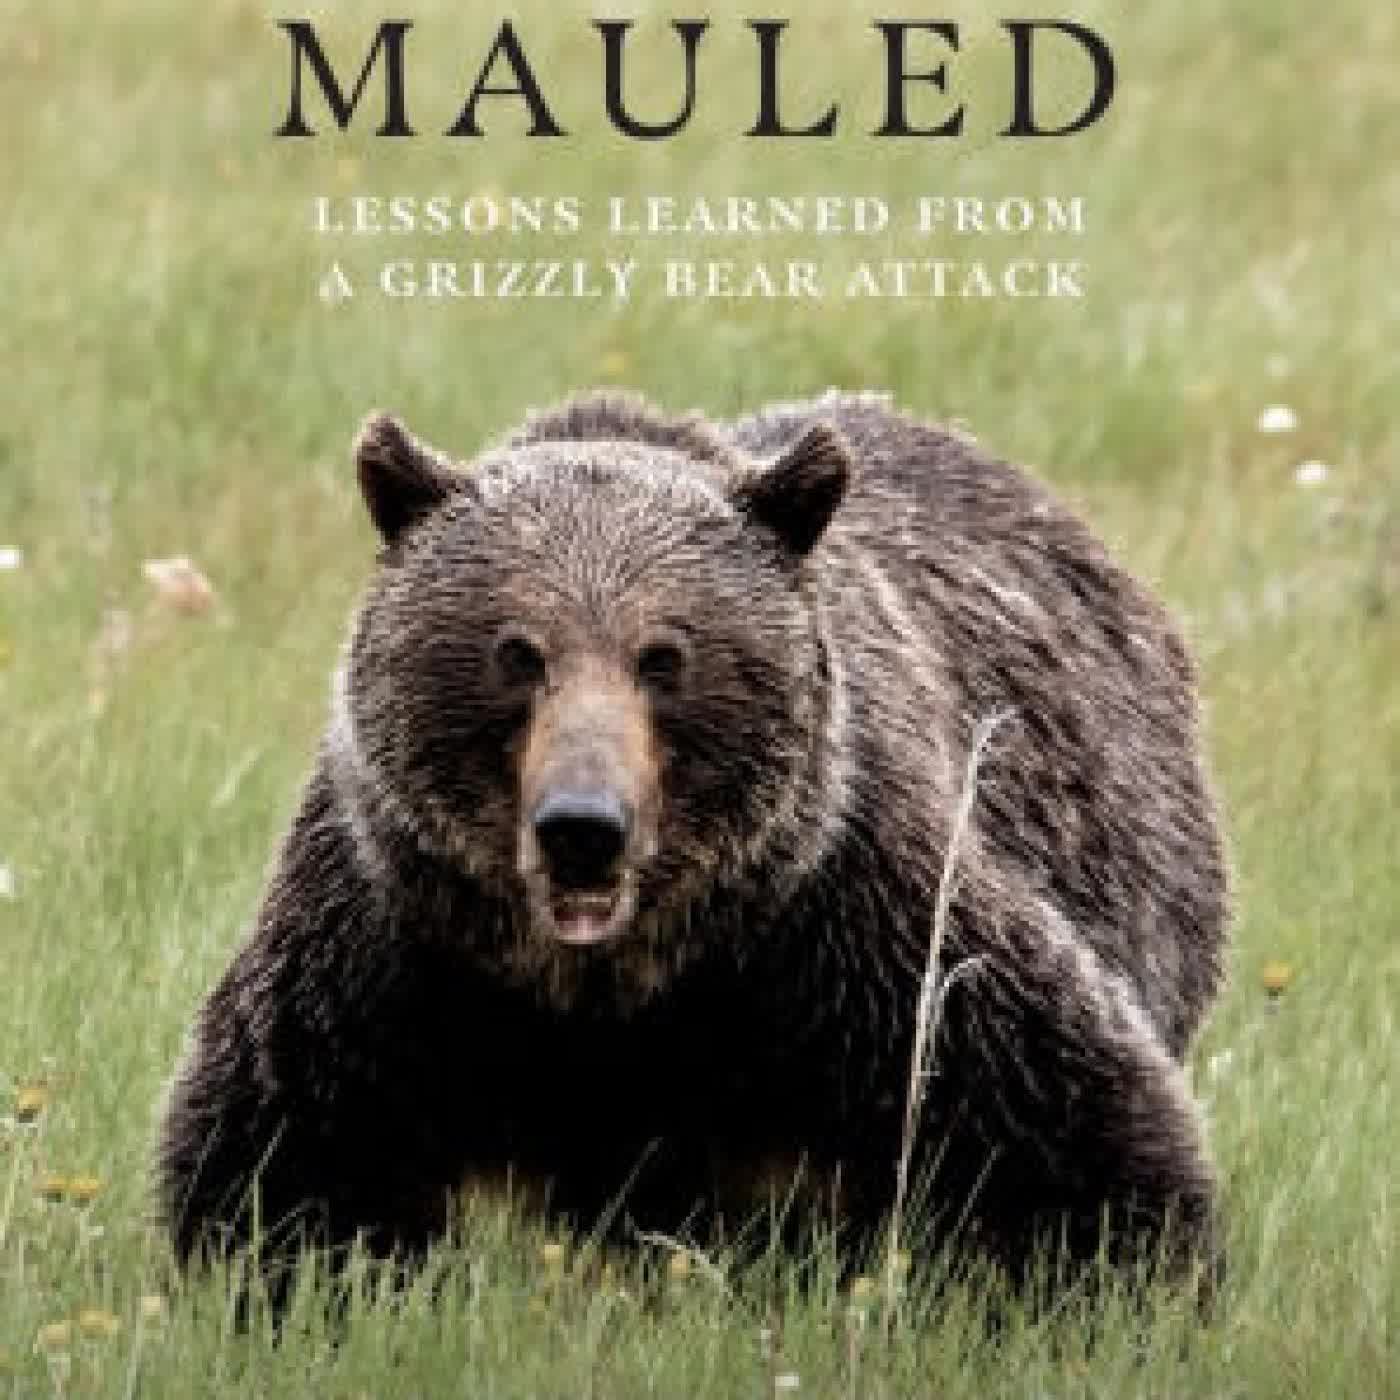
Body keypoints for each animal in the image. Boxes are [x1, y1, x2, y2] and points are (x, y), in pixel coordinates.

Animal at [156, 389, 1229, 1299]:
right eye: (516, 651)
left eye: (665, 655)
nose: (582, 827)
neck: (616, 984)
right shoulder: (391, 950)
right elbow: (287, 1158)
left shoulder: (857, 924)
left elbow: (1069, 1121)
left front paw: (1125, 1285)